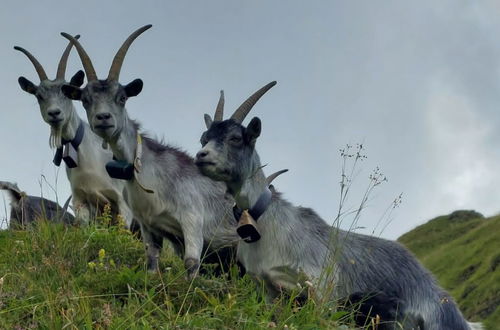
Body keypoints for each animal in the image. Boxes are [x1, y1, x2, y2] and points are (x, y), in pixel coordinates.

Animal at [60, 24, 240, 278]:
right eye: (85, 100)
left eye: (122, 97)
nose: (103, 118)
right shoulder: (148, 225)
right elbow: (152, 261)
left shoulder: (192, 220)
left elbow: (191, 262)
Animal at [193, 82, 482, 330]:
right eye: (204, 139)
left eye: (235, 138)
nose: (201, 156)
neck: (267, 223)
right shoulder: (268, 289)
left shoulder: (323, 287)